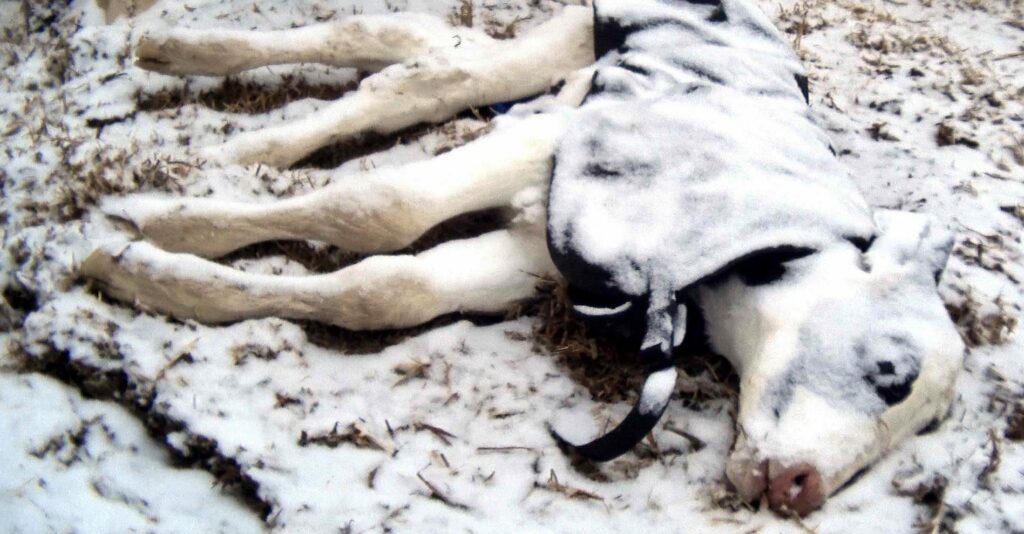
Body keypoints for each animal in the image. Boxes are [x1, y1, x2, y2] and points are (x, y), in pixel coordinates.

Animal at [83, 0, 962, 516]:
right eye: (892, 371)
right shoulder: (562, 144)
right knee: (424, 71)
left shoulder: (536, 256)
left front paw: (161, 277)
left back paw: (183, 66)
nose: (801, 491)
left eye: (922, 428)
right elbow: (380, 208)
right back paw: (230, 137)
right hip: (576, 34)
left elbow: (389, 288)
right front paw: (155, 233)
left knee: (412, 53)